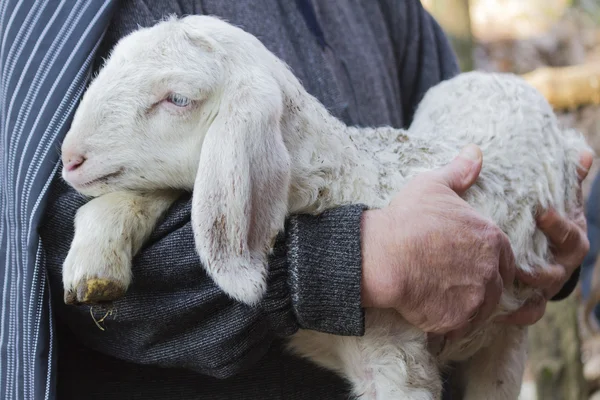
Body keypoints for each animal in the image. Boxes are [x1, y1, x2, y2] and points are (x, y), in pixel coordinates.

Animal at [59, 14, 592, 400]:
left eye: (178, 99)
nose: (69, 158)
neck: (338, 181)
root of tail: (501, 78)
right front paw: (95, 264)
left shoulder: (398, 363)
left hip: (508, 337)